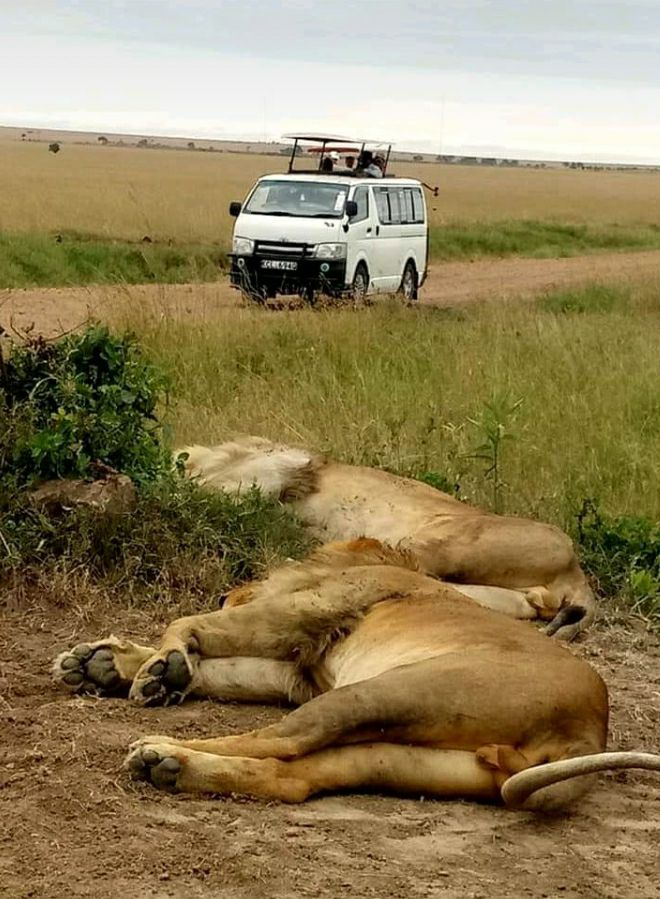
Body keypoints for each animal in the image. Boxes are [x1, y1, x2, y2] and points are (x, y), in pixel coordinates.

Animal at [54, 539, 659, 811]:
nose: (227, 590)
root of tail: (589, 730)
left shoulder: (309, 613)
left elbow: (192, 625)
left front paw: (162, 668)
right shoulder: (297, 670)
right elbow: (223, 665)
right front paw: (102, 665)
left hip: (382, 692)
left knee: (280, 740)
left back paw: (158, 749)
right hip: (397, 754)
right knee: (295, 778)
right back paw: (171, 768)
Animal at [178, 437, 595, 640]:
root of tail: (577, 573)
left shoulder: (278, 469)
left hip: (437, 542)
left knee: (354, 557)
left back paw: (241, 596)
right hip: (489, 594)